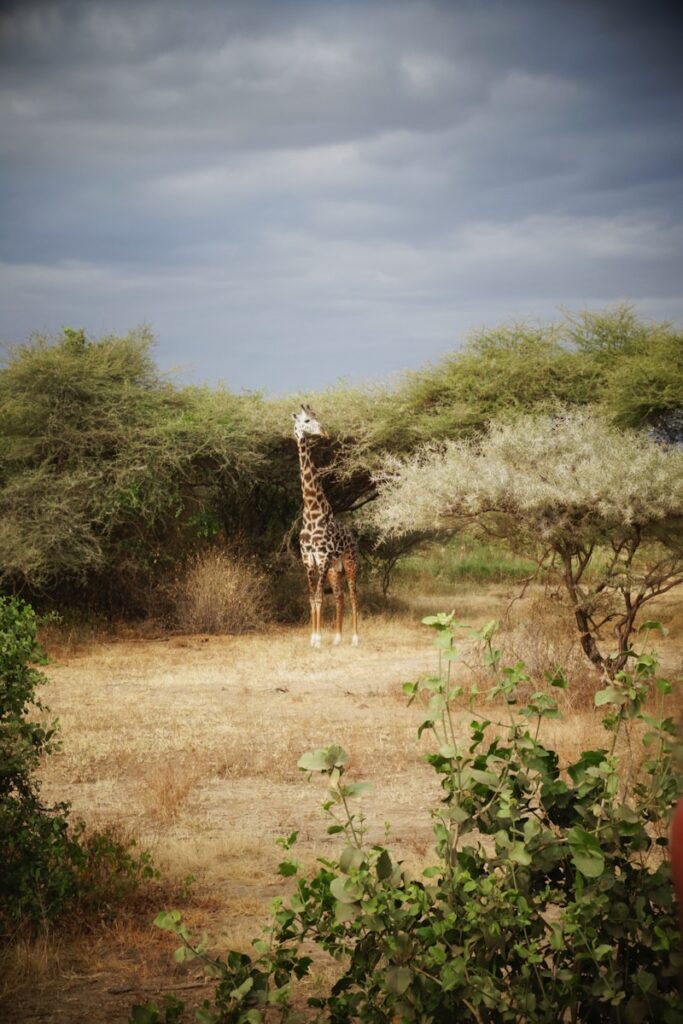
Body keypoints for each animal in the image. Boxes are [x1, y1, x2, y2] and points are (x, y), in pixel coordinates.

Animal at [290, 401, 360, 647]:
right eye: (306, 420)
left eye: (317, 417)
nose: (324, 432)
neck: (312, 512)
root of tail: (353, 536)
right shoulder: (308, 560)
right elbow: (312, 598)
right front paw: (313, 638)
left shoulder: (321, 558)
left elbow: (320, 598)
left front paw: (318, 639)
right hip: (334, 568)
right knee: (339, 595)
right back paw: (338, 638)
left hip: (350, 562)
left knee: (353, 594)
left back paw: (355, 638)